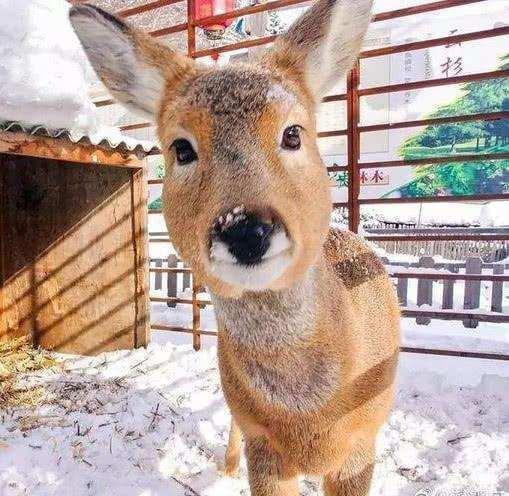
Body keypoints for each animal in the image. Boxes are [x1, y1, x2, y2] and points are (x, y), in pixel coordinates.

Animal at [69, 1, 398, 494]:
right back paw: (224, 468)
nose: (245, 230)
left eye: (293, 133)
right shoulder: (263, 447)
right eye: (181, 148)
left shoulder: (360, 447)